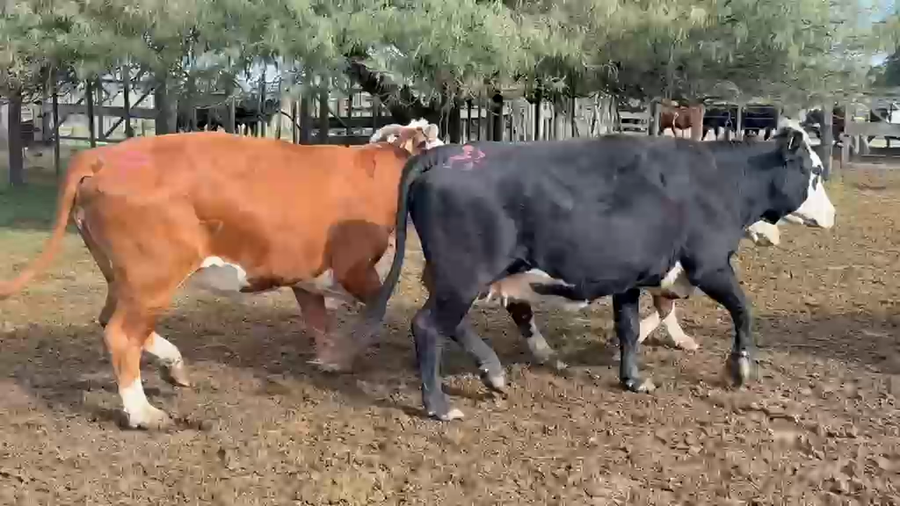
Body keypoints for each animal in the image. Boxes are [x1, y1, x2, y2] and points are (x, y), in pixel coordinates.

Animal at [0, 120, 441, 430]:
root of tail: (102, 156)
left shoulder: (305, 277)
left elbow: (321, 324)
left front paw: (330, 359)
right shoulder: (355, 269)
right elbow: (374, 311)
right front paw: (344, 357)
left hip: (123, 277)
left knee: (113, 321)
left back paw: (173, 366)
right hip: (152, 278)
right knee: (121, 334)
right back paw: (144, 413)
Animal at [353, 120, 835, 421]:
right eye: (813, 171)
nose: (832, 215)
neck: (718, 179)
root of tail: (451, 154)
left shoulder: (630, 279)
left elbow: (628, 328)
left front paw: (633, 379)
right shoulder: (711, 265)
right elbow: (743, 310)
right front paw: (740, 368)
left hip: (460, 277)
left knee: (452, 323)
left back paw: (494, 373)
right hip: (462, 275)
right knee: (427, 326)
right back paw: (439, 405)